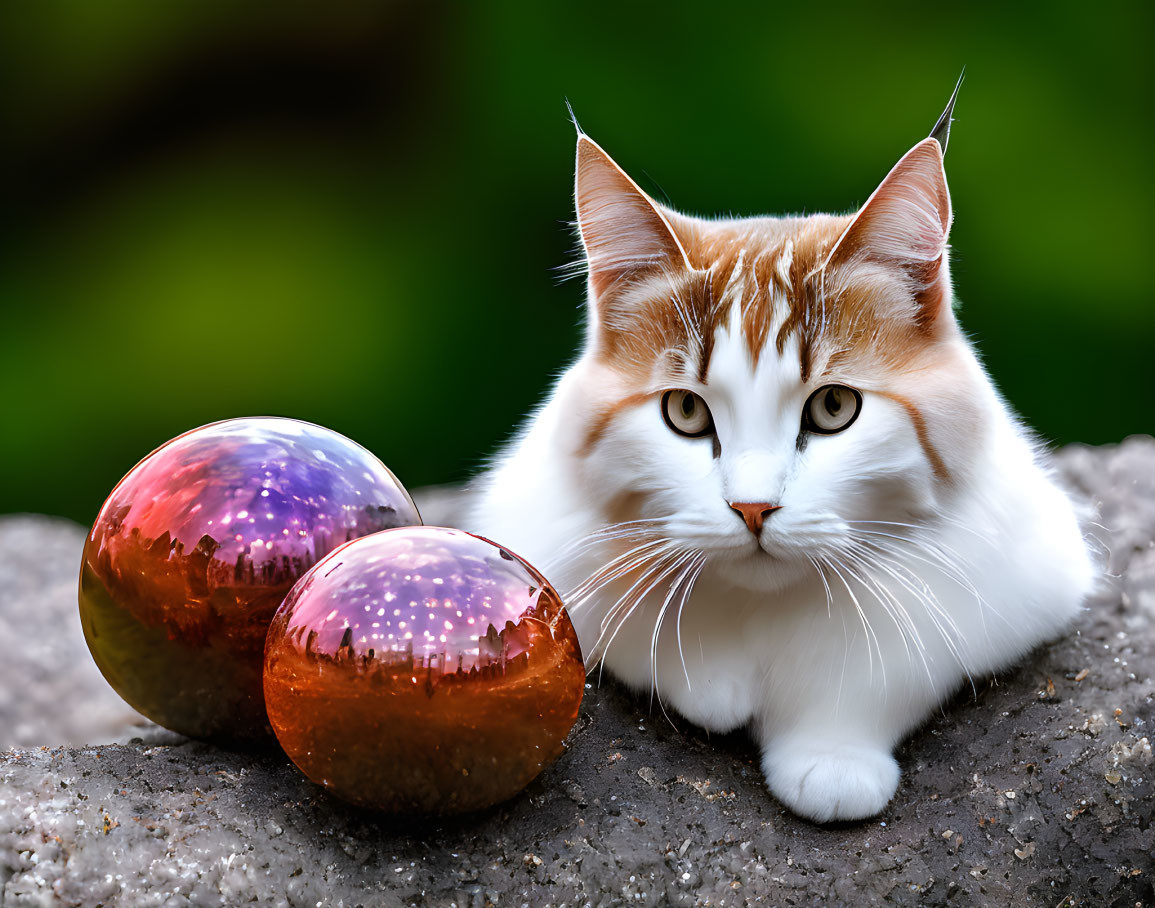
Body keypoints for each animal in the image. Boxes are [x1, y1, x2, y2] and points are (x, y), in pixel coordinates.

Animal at [464, 90, 1094, 822]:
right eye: (685, 413)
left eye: (833, 408)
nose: (752, 508)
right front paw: (710, 674)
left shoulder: (1020, 577)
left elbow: (890, 669)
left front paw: (832, 752)